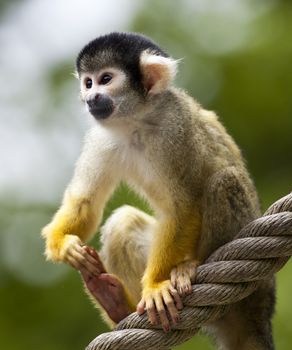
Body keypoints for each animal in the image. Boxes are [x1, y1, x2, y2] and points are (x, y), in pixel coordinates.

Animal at [42, 32, 274, 348]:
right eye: (88, 82)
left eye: (105, 79)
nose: (90, 97)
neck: (136, 119)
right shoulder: (102, 138)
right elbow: (86, 201)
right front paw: (62, 243)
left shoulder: (175, 129)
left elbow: (182, 208)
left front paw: (154, 287)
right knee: (123, 222)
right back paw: (117, 305)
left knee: (225, 180)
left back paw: (190, 266)